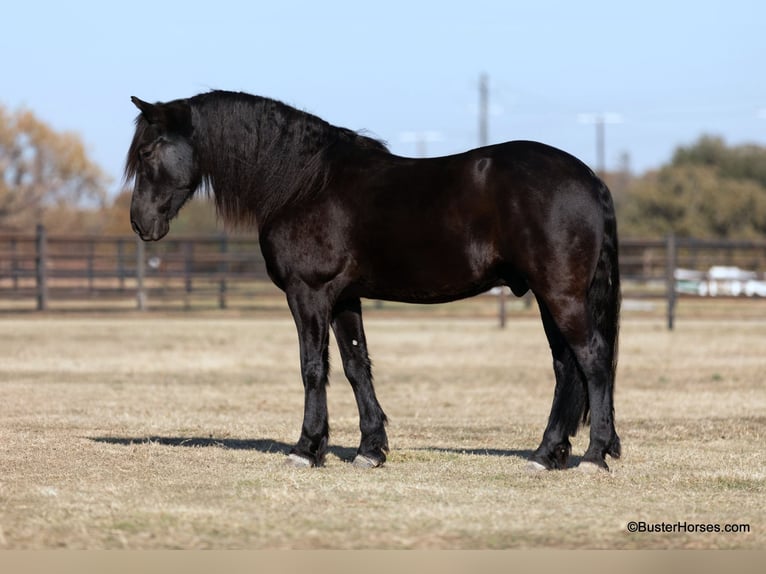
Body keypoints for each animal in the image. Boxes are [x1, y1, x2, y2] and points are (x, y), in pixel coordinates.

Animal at [125, 90, 621, 472]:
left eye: (147, 152)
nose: (140, 223)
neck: (303, 182)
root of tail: (589, 178)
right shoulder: (344, 298)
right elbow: (355, 365)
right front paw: (370, 449)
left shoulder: (308, 293)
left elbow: (312, 367)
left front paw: (307, 449)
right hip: (548, 296)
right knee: (566, 368)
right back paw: (546, 454)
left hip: (560, 295)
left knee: (593, 361)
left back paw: (594, 455)